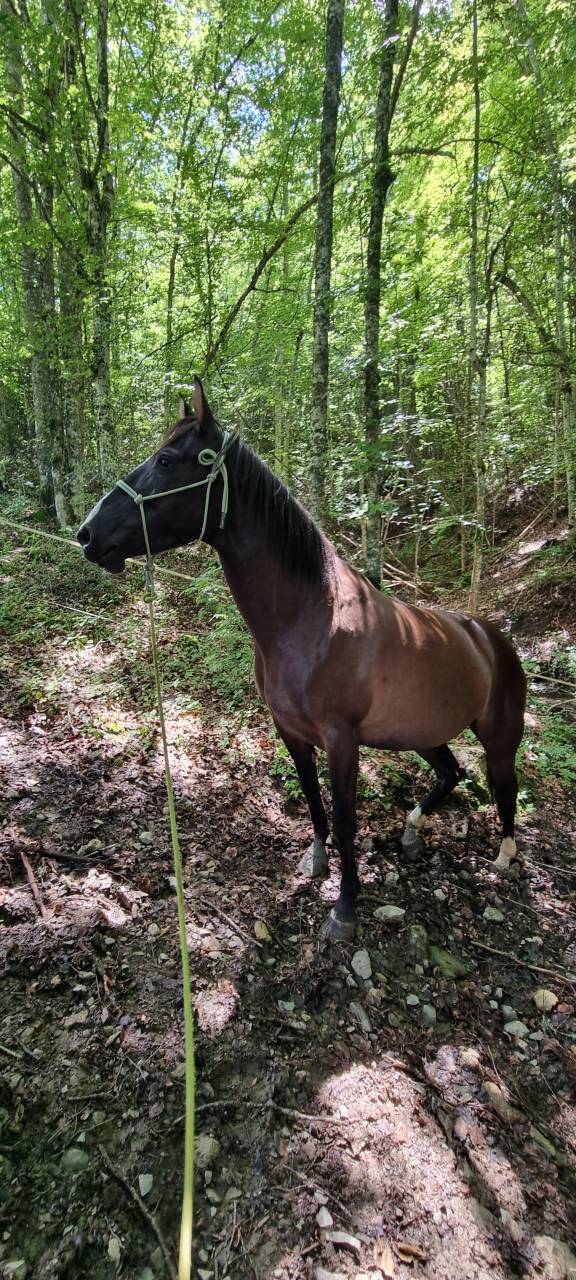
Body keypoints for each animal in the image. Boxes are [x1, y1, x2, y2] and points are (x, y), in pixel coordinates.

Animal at [78, 378, 526, 941]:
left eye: (164, 460)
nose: (87, 533)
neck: (312, 620)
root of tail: (488, 635)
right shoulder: (291, 731)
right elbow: (312, 800)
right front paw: (316, 861)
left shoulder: (341, 740)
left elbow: (345, 816)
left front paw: (346, 906)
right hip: (422, 733)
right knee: (451, 773)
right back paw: (411, 832)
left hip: (499, 738)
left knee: (505, 790)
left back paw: (504, 857)